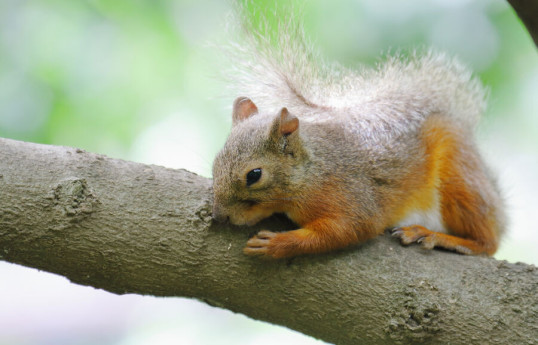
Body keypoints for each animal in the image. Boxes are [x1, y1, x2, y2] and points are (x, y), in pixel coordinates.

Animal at [209, 14, 502, 258]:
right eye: (214, 165)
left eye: (254, 175)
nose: (219, 217)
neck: (313, 173)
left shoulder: (351, 196)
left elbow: (349, 229)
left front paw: (277, 245)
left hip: (458, 176)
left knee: (487, 241)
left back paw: (436, 235)